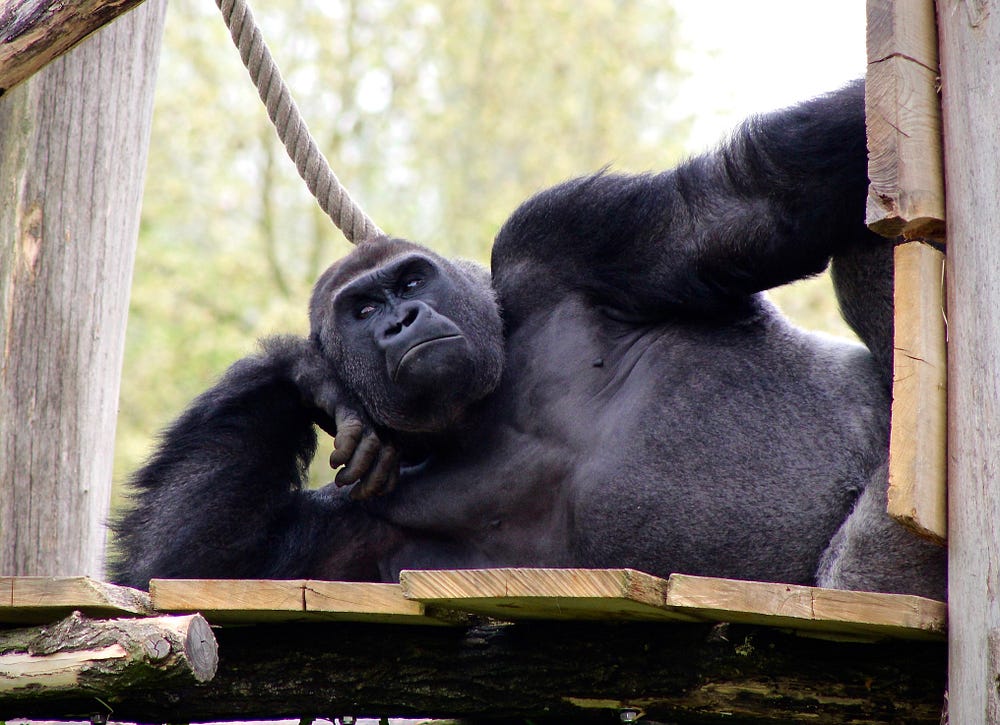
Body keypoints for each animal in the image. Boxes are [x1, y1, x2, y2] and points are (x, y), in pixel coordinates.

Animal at [109, 80, 944, 600]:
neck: (491, 402)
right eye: (362, 309)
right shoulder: (365, 520)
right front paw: (309, 373)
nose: (400, 321)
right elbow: (191, 569)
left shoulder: (555, 234)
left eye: (411, 282)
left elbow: (752, 197)